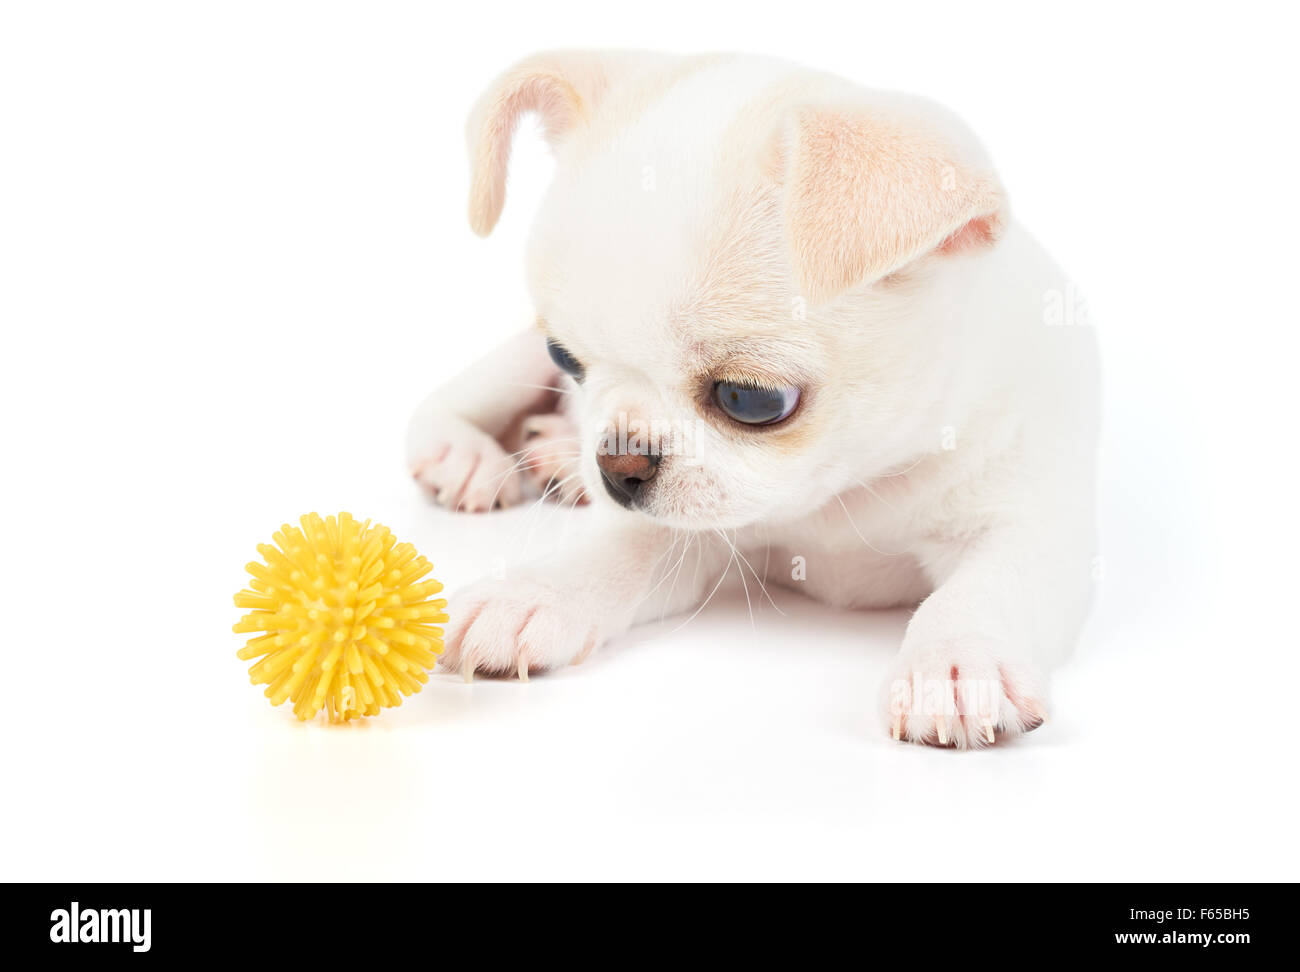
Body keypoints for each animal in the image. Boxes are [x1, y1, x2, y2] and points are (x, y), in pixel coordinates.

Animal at [405, 53, 1097, 748]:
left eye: (750, 400)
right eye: (566, 360)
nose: (616, 466)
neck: (848, 492)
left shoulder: (1027, 522)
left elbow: (987, 586)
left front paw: (957, 663)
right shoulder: (686, 530)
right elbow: (619, 550)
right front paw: (533, 593)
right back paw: (469, 455)